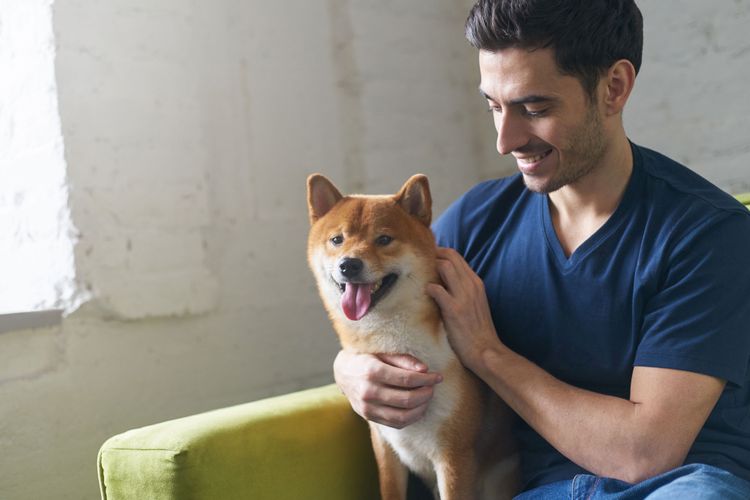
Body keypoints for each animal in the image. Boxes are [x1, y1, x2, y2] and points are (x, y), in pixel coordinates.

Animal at [306, 173, 524, 500]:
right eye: (337, 240)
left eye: (384, 239)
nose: (349, 264)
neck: (394, 342)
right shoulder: (386, 448)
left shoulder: (453, 455)